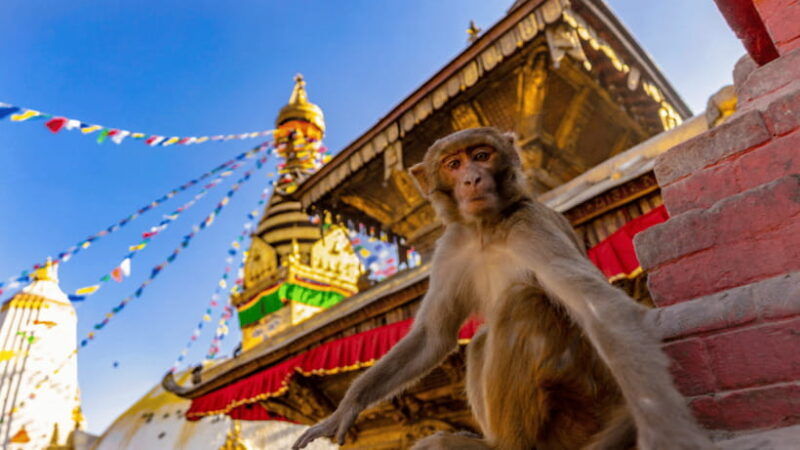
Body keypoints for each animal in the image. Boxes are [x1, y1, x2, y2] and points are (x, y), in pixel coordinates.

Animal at [293, 127, 714, 450]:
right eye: (453, 164)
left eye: (481, 155)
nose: (471, 179)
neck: (487, 229)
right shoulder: (452, 246)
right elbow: (433, 335)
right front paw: (345, 409)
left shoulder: (532, 228)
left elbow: (599, 310)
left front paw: (665, 431)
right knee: (481, 339)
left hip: (580, 406)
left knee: (522, 303)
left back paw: (504, 445)